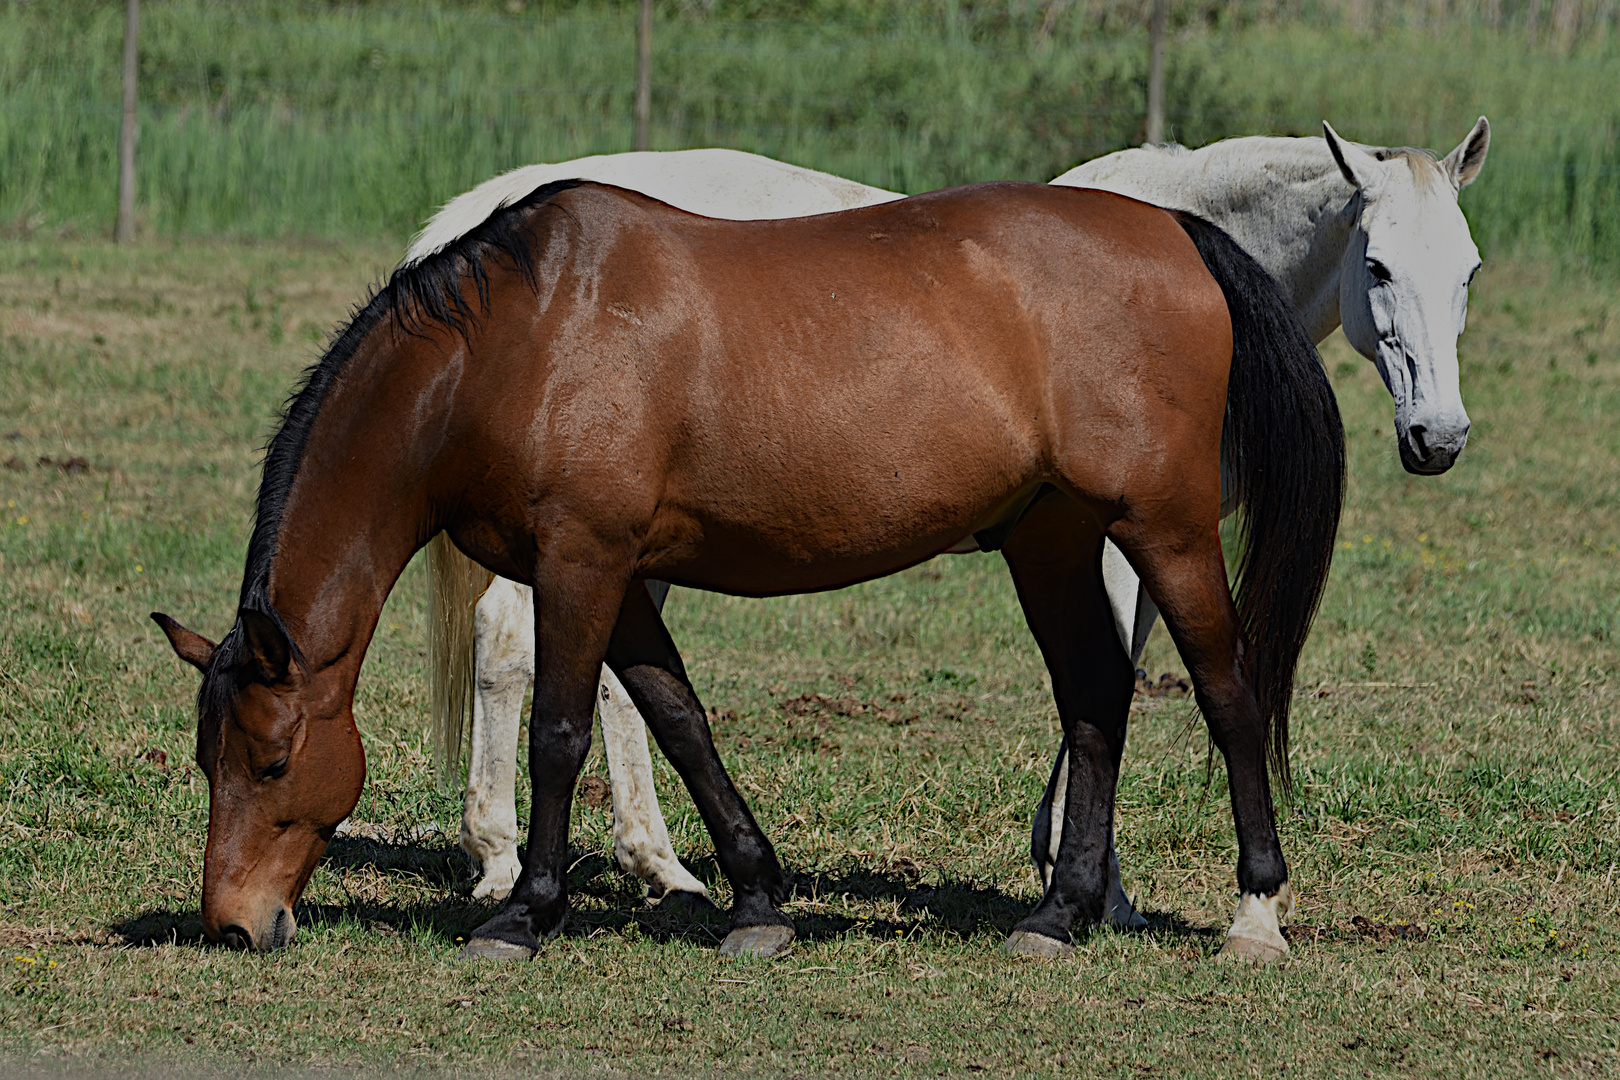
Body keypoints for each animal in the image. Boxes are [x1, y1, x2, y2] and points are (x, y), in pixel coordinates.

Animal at [154, 177, 1341, 965]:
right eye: (209, 759)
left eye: (270, 762)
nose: (233, 924)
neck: (518, 343)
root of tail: (1177, 232)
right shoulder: (619, 574)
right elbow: (679, 721)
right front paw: (756, 900)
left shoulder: (581, 561)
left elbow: (560, 733)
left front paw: (526, 912)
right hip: (1048, 537)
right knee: (1095, 696)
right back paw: (1058, 915)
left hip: (1166, 529)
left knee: (1228, 691)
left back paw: (1254, 915)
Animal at [421, 120, 1490, 952]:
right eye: (1377, 266)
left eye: (1470, 271)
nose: (1439, 438)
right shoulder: (1118, 542)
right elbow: (1107, 685)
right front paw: (1091, 882)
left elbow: (1112, 680)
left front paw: (1090, 886)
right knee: (511, 643)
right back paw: (506, 859)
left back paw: (657, 869)